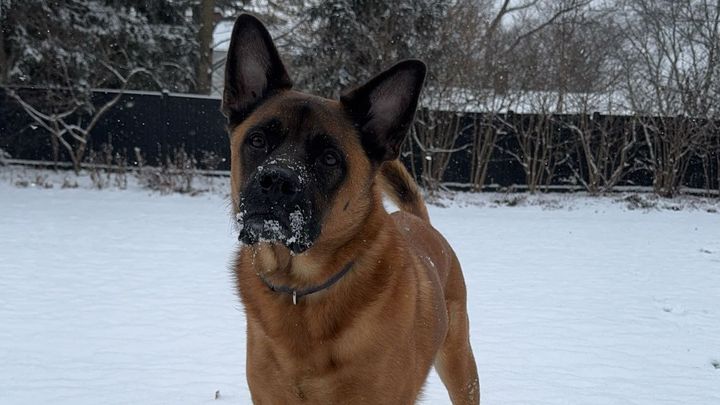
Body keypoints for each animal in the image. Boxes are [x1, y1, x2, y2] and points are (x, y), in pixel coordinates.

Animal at [222, 14, 479, 404]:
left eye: (329, 158)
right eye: (258, 140)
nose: (277, 181)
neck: (301, 288)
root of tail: (417, 219)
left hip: (460, 365)